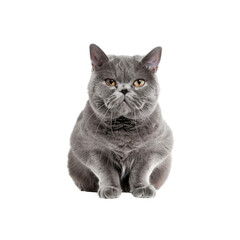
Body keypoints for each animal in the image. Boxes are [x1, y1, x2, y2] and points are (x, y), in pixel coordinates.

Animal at [68, 43, 173, 199]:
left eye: (139, 82)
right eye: (110, 82)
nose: (124, 90)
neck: (124, 127)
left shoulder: (158, 145)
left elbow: (141, 169)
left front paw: (142, 188)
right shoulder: (87, 146)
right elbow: (105, 170)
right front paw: (110, 189)